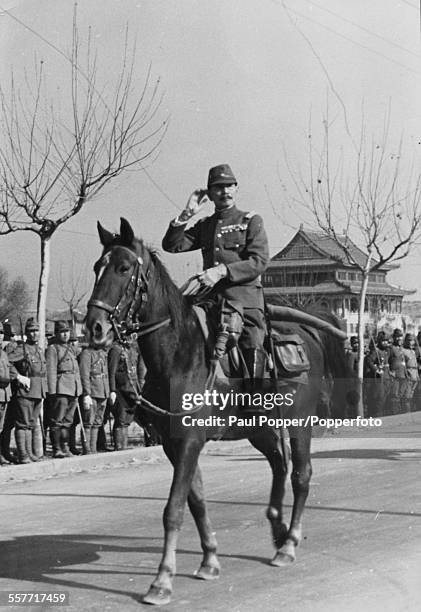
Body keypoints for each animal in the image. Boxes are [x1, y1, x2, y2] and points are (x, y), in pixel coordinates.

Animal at [85, 218, 352, 604]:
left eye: (123, 268)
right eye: (97, 267)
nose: (94, 327)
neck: (180, 356)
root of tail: (307, 330)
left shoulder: (190, 442)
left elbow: (173, 508)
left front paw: (161, 580)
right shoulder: (174, 443)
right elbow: (195, 501)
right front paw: (209, 558)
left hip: (300, 422)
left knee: (301, 475)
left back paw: (288, 543)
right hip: (259, 429)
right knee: (280, 465)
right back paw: (278, 527)